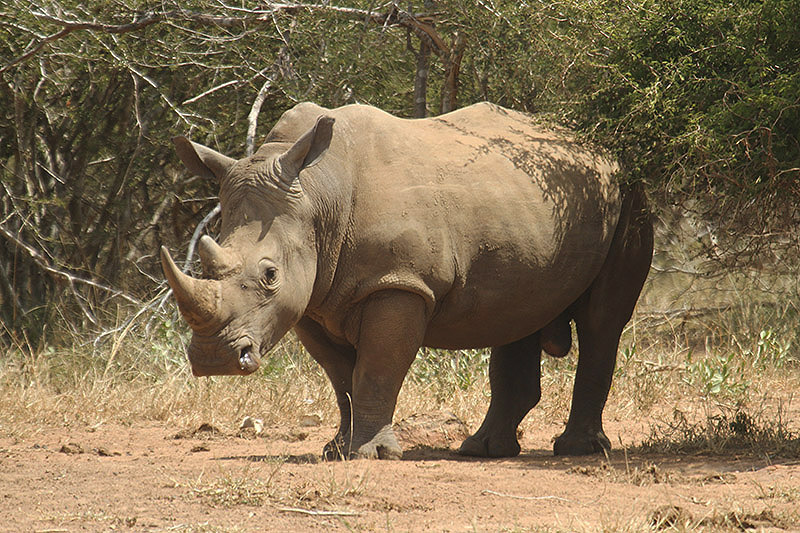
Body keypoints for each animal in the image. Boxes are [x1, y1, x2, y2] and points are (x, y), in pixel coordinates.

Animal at [160, 102, 653, 459]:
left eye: (269, 275)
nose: (214, 360)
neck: (318, 195)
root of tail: (604, 146)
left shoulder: (398, 283)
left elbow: (377, 368)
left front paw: (373, 455)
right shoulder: (311, 300)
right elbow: (342, 378)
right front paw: (337, 450)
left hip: (631, 192)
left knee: (602, 321)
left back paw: (579, 451)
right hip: (525, 210)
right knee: (518, 313)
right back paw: (483, 450)